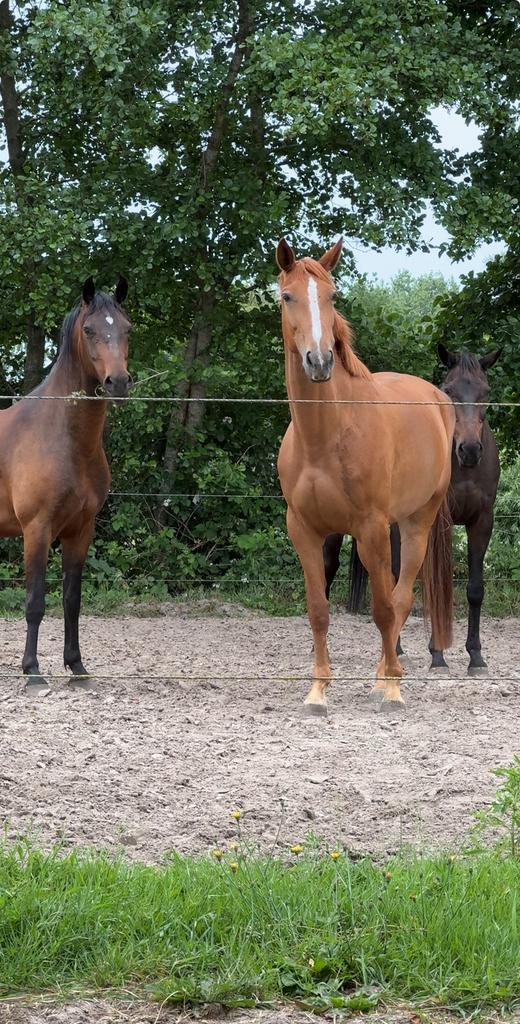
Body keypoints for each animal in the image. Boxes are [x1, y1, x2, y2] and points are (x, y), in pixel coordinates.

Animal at [0, 276, 131, 694]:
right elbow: (35, 602)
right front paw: (33, 672)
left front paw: (77, 667)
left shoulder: (80, 530)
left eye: (127, 328)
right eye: (88, 330)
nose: (118, 382)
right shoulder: (37, 530)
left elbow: (72, 600)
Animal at [276, 238, 455, 715]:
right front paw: (317, 691)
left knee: (400, 598)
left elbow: (383, 608)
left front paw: (391, 689)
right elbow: (318, 609)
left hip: (415, 522)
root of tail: (437, 398)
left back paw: (384, 679)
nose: (319, 361)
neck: (325, 437)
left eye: (332, 295)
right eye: (287, 297)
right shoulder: (304, 529)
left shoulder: (370, 527)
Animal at [328, 344, 501, 675]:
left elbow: (475, 589)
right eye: (449, 390)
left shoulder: (482, 521)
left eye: (486, 391)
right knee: (331, 569)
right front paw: (438, 655)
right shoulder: (435, 525)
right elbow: (435, 587)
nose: (470, 450)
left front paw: (475, 657)